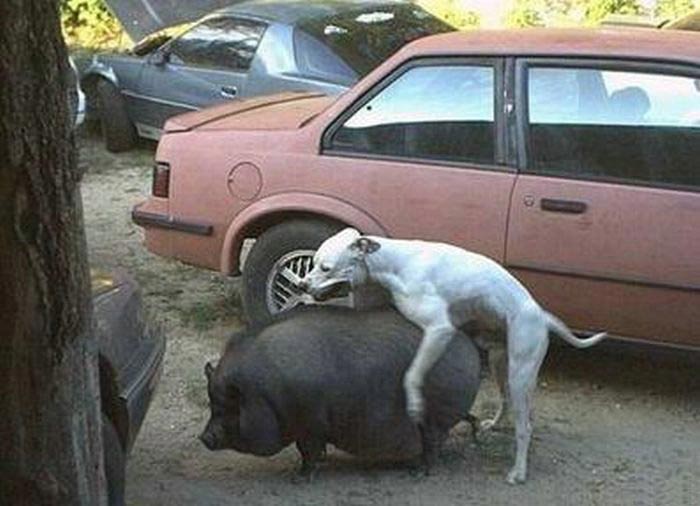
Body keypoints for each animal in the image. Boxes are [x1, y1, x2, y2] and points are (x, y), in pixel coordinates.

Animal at [200, 306, 481, 477]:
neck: (263, 393)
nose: (203, 437)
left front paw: (299, 478)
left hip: (434, 418)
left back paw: (419, 473)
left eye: (228, 405)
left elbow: (307, 451)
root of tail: (470, 347)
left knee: (432, 445)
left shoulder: (310, 424)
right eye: (211, 402)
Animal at [299, 228, 607, 484]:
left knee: (525, 426)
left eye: (325, 267)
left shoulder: (439, 329)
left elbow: (412, 374)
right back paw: (494, 424)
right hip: (499, 363)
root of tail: (541, 316)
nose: (301, 285)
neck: (396, 262)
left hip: (521, 372)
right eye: (312, 262)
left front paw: (414, 404)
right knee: (507, 401)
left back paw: (518, 471)